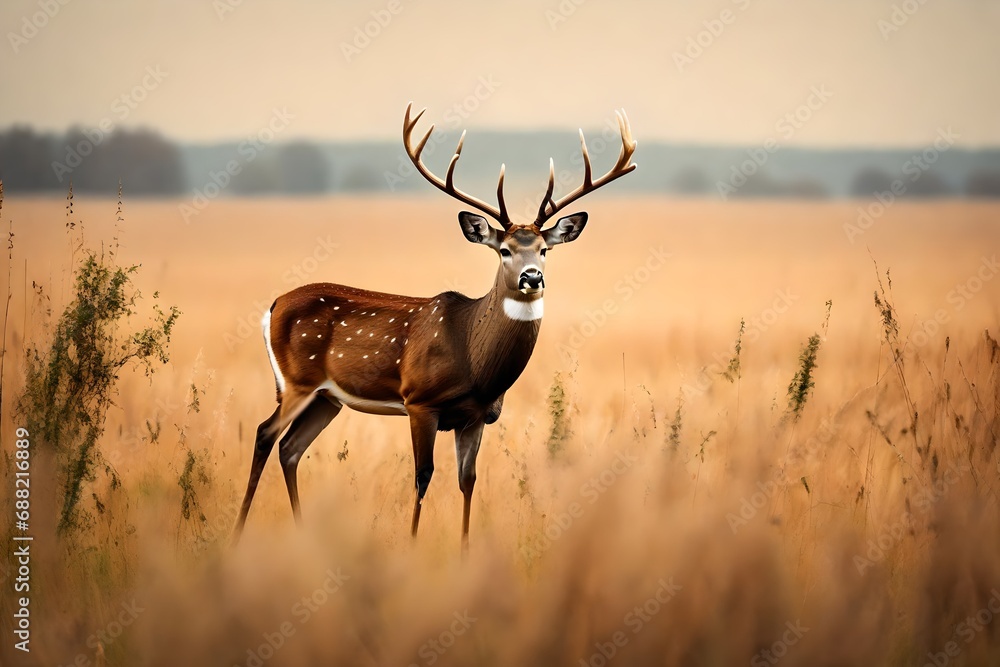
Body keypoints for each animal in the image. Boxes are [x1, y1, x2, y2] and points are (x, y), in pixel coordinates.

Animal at [231, 102, 637, 549]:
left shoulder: (477, 416)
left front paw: (464, 549)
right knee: (265, 433)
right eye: (504, 250)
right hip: (297, 382)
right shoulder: (419, 401)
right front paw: (410, 544)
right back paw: (237, 532)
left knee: (290, 448)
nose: (532, 277)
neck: (474, 363)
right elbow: (423, 476)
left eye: (545, 249)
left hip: (326, 397)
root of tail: (273, 306)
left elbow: (468, 480)